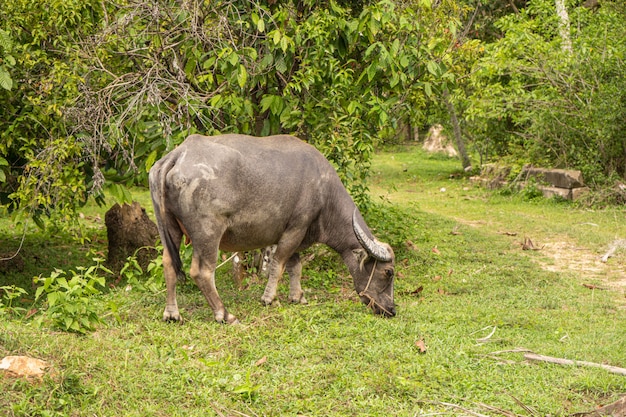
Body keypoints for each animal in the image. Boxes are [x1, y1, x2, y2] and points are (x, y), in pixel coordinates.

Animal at [149, 133, 394, 322]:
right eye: (388, 272)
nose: (390, 309)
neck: (325, 196)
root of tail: (179, 154)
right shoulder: (295, 229)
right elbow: (278, 265)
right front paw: (270, 299)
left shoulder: (293, 234)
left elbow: (295, 266)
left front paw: (297, 296)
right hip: (208, 232)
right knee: (202, 272)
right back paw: (225, 314)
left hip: (169, 228)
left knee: (168, 263)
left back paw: (172, 314)